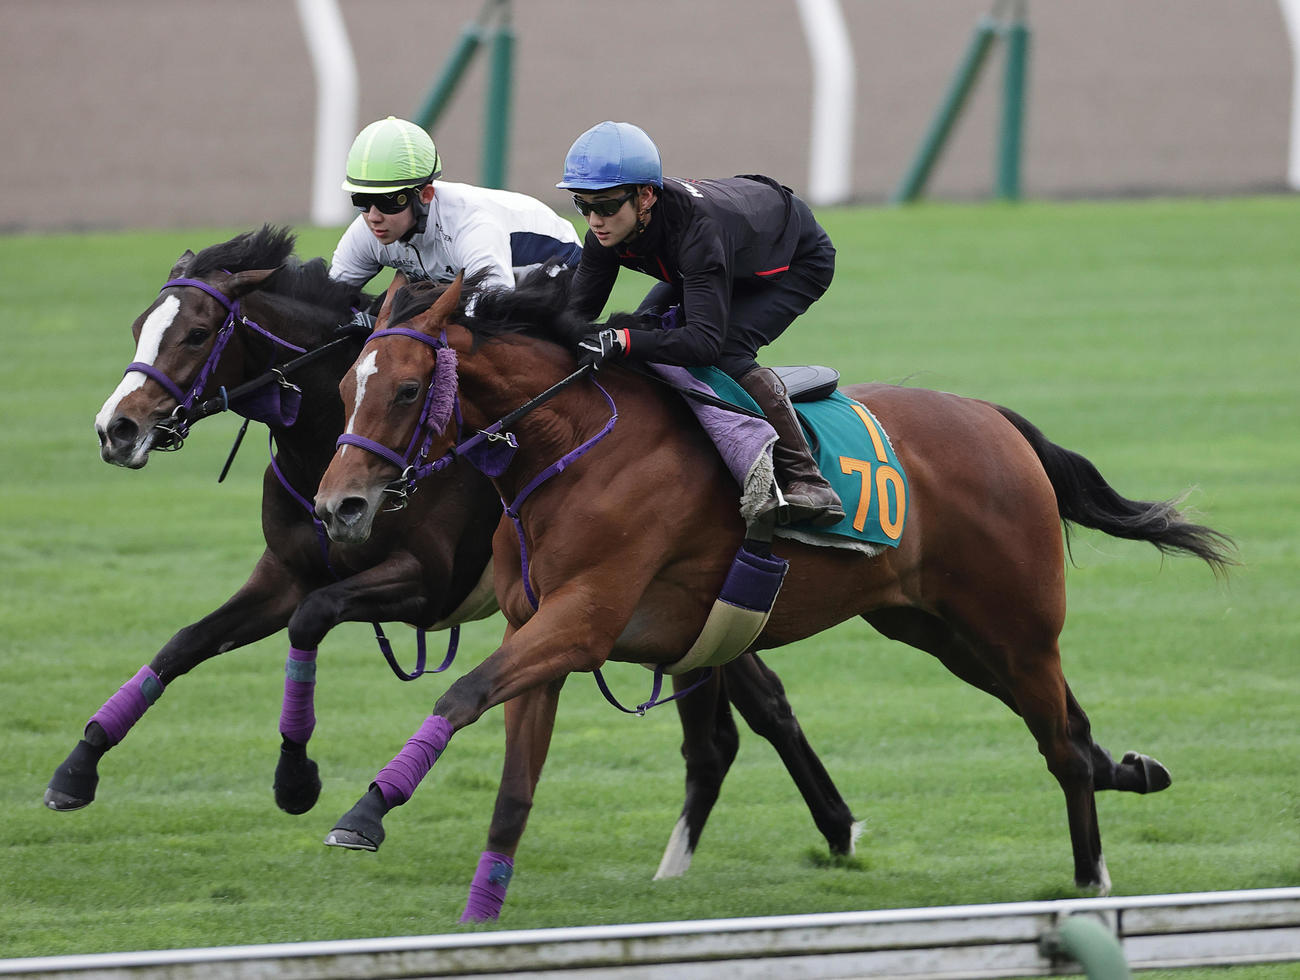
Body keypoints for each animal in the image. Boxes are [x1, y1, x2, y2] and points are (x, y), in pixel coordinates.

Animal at [47, 226, 860, 903]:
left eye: (194, 332)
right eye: (138, 328)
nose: (115, 430)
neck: (326, 437)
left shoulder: (428, 585)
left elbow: (313, 617)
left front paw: (298, 779)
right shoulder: (285, 573)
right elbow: (186, 643)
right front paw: (78, 767)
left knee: (758, 713)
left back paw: (838, 829)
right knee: (734, 717)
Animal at [312, 269, 1235, 918]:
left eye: (404, 390)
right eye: (343, 389)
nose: (338, 507)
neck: (568, 444)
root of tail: (995, 419)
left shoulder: (584, 622)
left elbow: (460, 692)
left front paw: (363, 813)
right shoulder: (538, 629)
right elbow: (512, 788)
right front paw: (479, 915)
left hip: (1015, 627)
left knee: (1061, 747)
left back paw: (1091, 882)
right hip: (939, 630)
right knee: (1070, 728)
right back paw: (1131, 775)